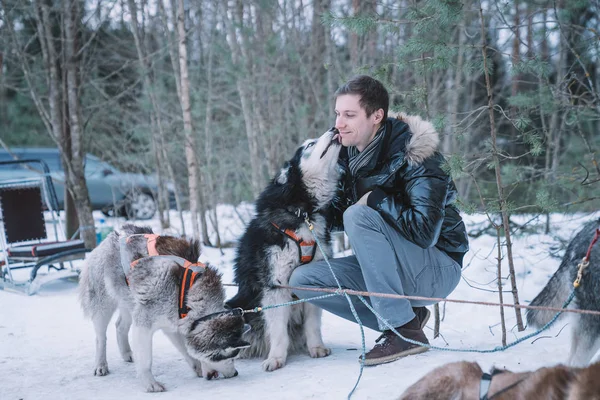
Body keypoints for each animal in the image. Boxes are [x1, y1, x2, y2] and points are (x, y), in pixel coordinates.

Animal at [79, 223, 248, 392]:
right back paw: (101, 365)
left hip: (130, 301)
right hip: (104, 305)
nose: (235, 373)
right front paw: (150, 383)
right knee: (101, 337)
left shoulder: (173, 323)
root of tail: (114, 234)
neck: (188, 296)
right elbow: (146, 360)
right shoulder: (144, 324)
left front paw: (197, 366)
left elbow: (185, 349)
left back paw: (127, 353)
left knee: (120, 325)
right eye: (231, 357)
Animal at [226, 128, 342, 372]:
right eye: (309, 145)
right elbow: (278, 331)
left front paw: (316, 347)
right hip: (234, 308)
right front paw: (276, 358)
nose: (335, 129)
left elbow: (313, 325)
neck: (303, 212)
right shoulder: (275, 285)